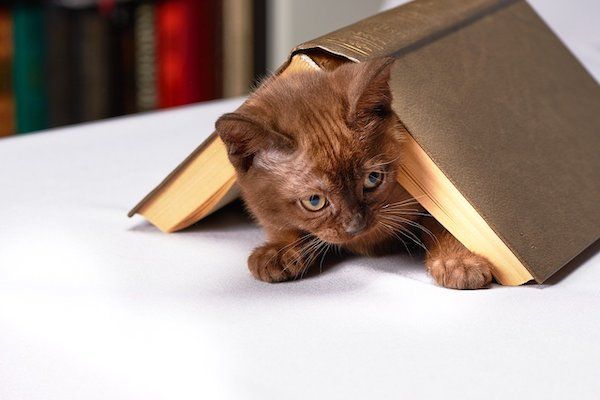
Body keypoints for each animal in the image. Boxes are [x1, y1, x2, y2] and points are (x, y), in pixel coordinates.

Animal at [214, 57, 492, 290]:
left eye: (372, 179)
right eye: (314, 201)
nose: (356, 224)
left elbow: (447, 223)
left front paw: (458, 262)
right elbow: (279, 223)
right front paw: (279, 251)